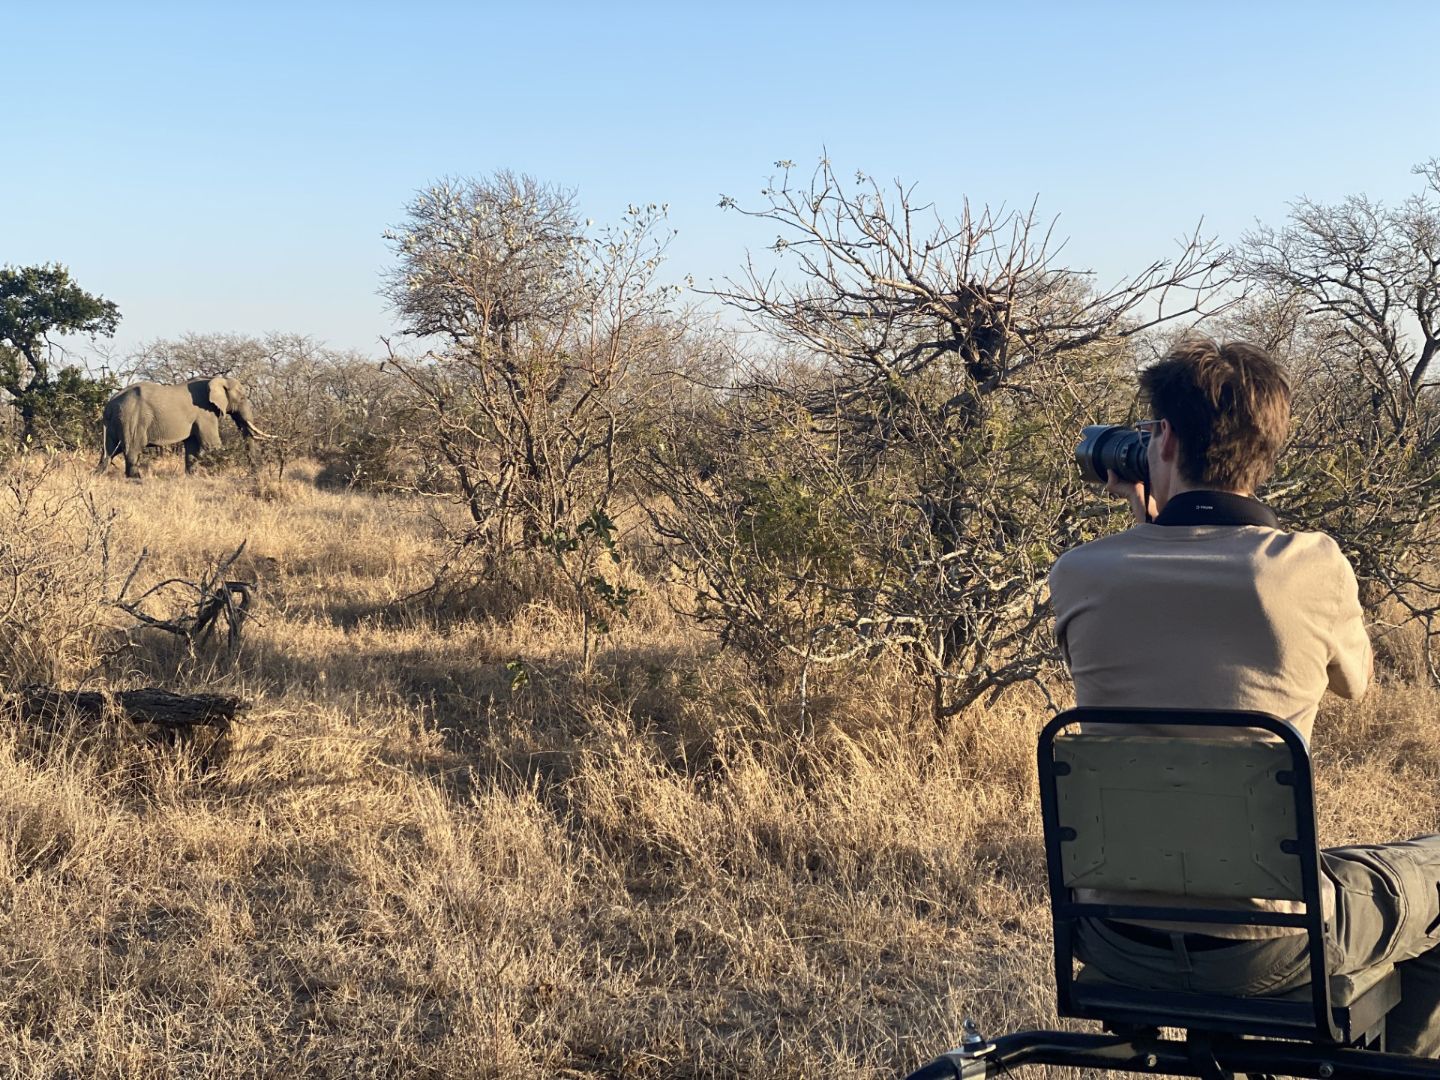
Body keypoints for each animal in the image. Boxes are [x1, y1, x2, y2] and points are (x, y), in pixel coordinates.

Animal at [100, 380, 273, 480]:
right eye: (243, 398)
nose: (254, 475)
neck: (216, 379)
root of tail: (109, 405)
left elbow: (191, 445)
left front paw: (192, 478)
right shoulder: (205, 413)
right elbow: (212, 445)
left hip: (117, 422)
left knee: (110, 451)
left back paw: (99, 475)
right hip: (132, 419)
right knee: (132, 449)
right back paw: (136, 480)